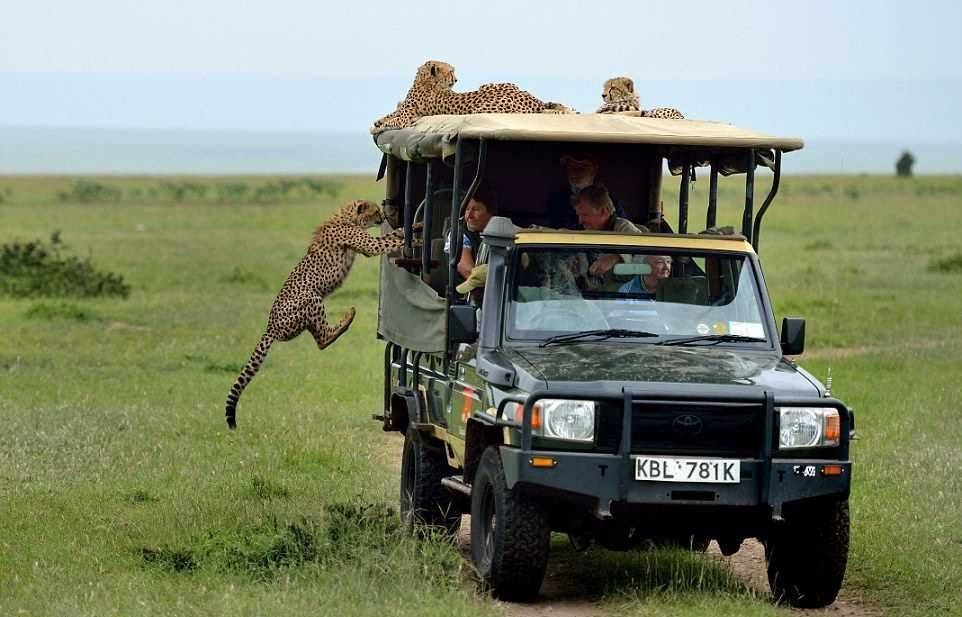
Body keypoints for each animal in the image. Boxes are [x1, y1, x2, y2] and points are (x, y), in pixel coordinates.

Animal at [226, 200, 412, 426]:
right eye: (375, 210)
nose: (382, 217)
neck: (347, 217)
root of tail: (269, 327)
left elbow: (389, 237)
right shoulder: (368, 245)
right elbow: (386, 241)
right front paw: (408, 233)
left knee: (319, 339)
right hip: (312, 298)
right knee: (323, 340)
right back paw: (347, 318)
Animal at [372, 59, 568, 134]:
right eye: (451, 71)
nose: (456, 79)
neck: (425, 82)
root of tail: (533, 98)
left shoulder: (407, 117)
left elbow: (394, 120)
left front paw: (377, 127)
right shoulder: (402, 111)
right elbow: (389, 114)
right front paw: (377, 122)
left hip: (484, 108)